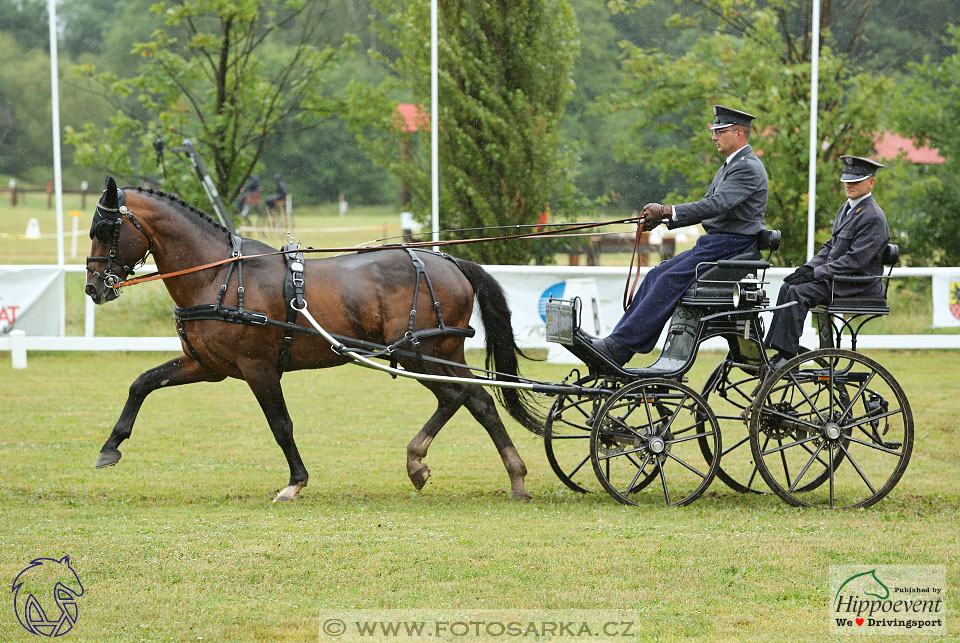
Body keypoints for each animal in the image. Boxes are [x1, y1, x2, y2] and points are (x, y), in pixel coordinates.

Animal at [85, 176, 544, 504]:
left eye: (107, 229)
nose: (93, 287)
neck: (218, 276)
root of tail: (449, 260)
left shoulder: (258, 368)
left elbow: (280, 424)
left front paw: (295, 482)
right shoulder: (208, 366)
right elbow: (142, 383)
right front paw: (111, 447)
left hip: (422, 352)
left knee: (456, 397)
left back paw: (418, 461)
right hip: (442, 352)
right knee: (479, 401)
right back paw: (515, 477)